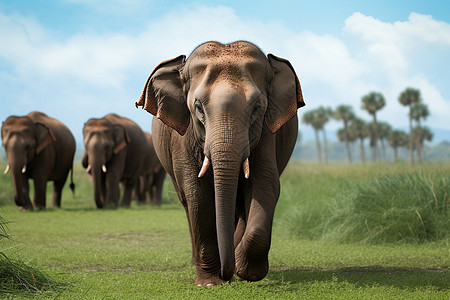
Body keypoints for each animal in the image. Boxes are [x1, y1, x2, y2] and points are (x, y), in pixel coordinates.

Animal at [135, 40, 304, 286]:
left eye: (257, 107)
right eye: (197, 106)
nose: (226, 275)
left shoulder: (266, 133)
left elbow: (266, 185)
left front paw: (247, 272)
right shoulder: (183, 137)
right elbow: (197, 193)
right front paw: (208, 283)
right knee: (188, 203)